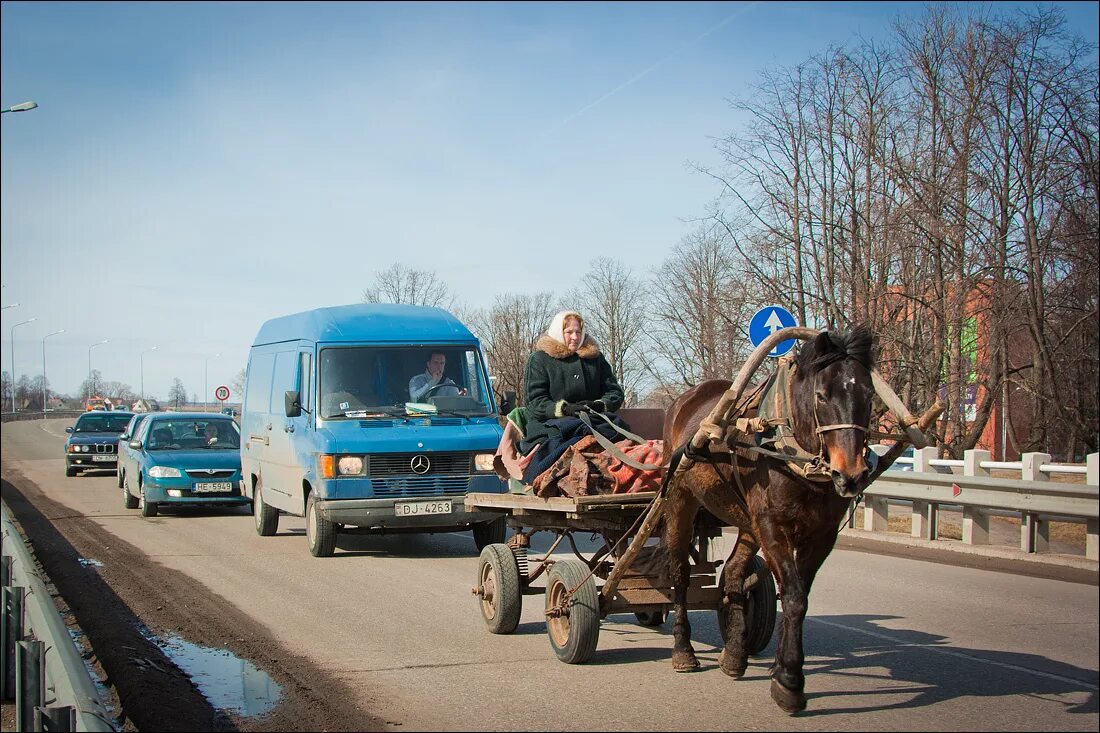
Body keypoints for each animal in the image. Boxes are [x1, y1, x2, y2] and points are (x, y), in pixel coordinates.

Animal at [660, 325, 875, 713]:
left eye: (868, 394)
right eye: (822, 395)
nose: (851, 474)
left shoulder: (822, 535)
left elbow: (797, 596)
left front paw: (780, 670)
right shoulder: (773, 526)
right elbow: (793, 596)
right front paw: (788, 680)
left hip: (745, 519)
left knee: (733, 575)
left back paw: (734, 654)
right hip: (681, 500)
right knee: (679, 574)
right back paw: (683, 650)